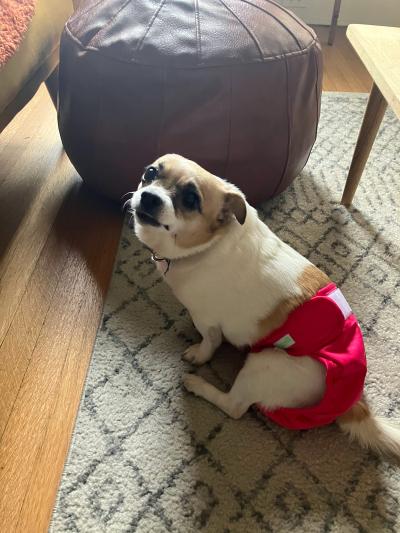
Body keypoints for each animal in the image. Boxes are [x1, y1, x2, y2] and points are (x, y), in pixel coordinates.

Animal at [130, 154, 400, 458]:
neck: (209, 245)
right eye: (150, 173)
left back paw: (198, 385)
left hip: (264, 361)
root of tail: (354, 404)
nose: (149, 196)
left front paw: (199, 354)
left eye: (190, 199)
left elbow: (210, 343)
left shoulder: (207, 319)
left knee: (234, 407)